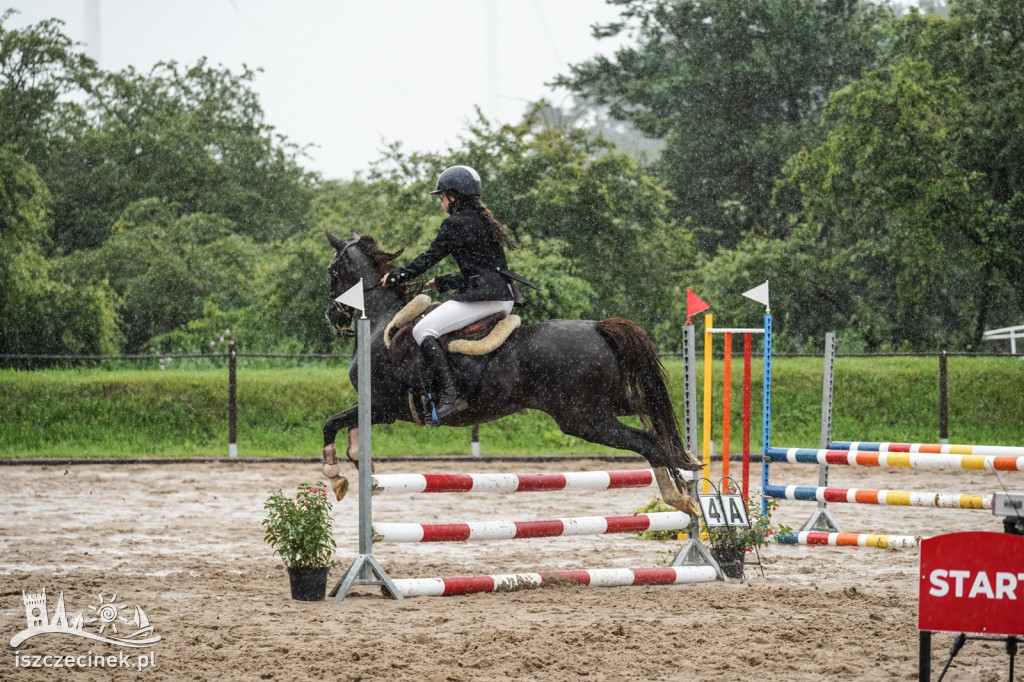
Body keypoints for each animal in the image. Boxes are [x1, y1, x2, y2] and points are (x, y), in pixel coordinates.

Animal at [319, 231, 704, 512]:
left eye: (332, 272)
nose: (333, 316)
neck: (380, 323)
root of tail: (598, 328)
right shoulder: (379, 409)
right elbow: (348, 433)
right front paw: (358, 470)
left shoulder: (384, 407)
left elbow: (330, 423)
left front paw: (335, 477)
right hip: (609, 405)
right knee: (651, 419)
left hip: (585, 419)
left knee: (648, 441)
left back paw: (678, 499)